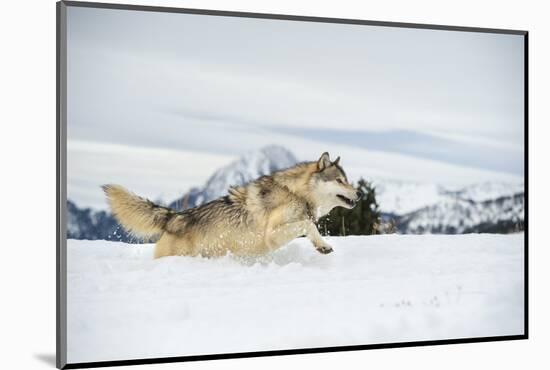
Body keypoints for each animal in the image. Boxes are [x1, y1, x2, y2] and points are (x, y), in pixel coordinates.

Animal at [103, 152, 362, 258]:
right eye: (340, 180)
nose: (359, 194)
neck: (296, 193)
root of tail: (175, 217)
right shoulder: (272, 234)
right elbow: (308, 224)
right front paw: (323, 246)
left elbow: (309, 225)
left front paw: (321, 245)